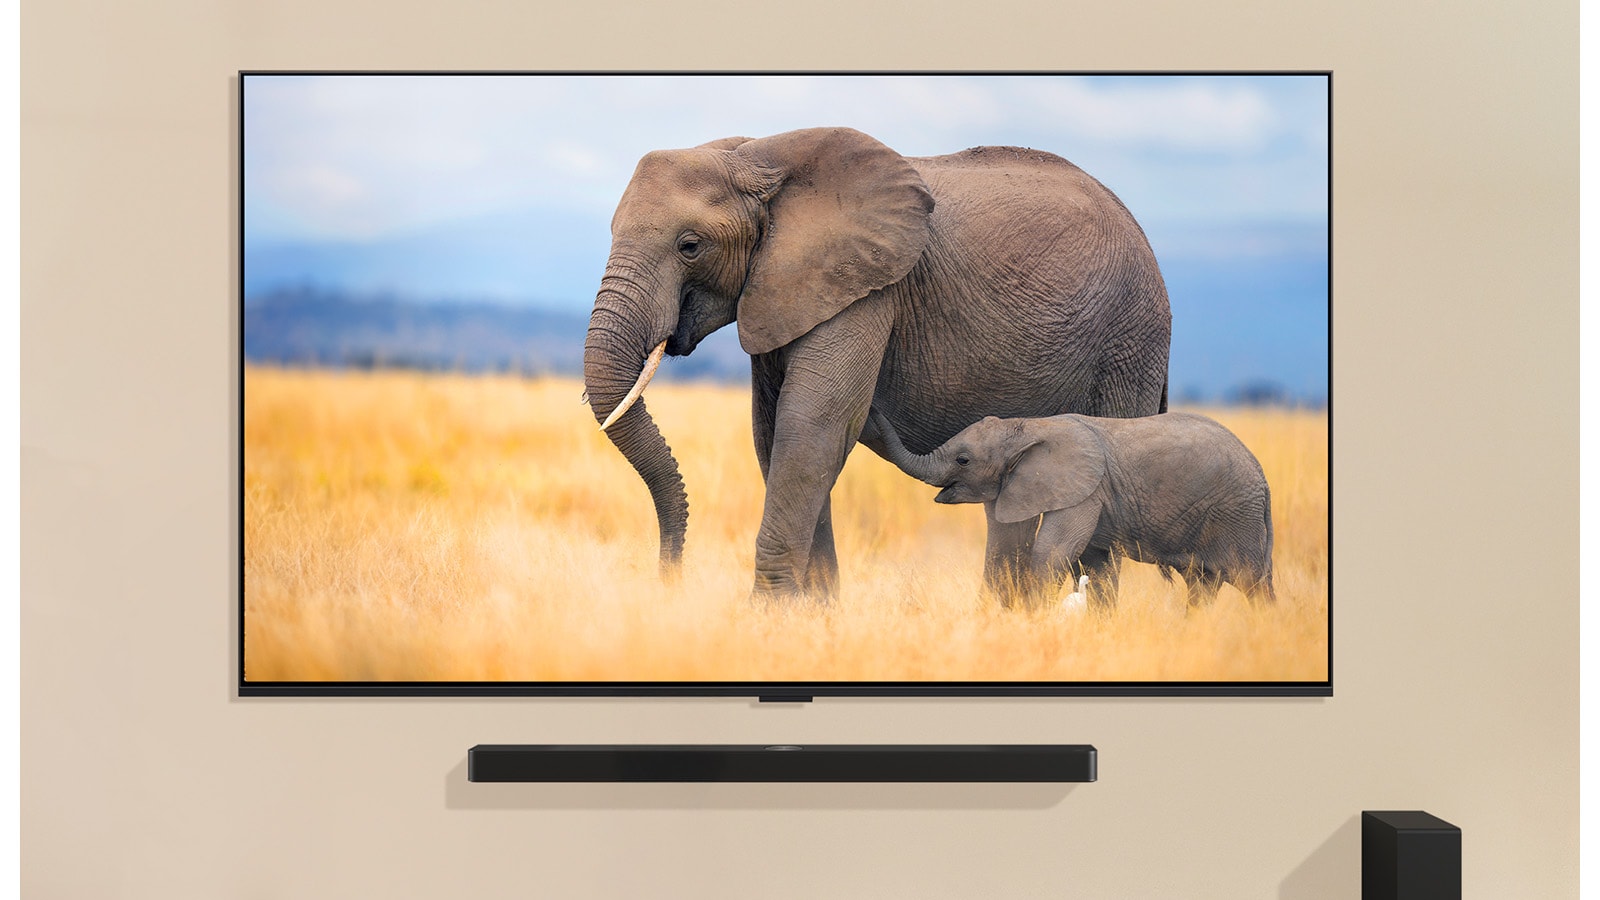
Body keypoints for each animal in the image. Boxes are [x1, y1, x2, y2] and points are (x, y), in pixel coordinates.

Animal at [582, 127, 1171, 601]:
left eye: (690, 245)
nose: (669, 581)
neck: (757, 155)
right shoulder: (786, 287)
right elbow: (775, 434)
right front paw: (811, 617)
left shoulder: (868, 288)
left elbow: (813, 426)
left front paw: (768, 618)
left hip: (1130, 342)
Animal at [862, 408, 1276, 609]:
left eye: (963, 460)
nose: (871, 412)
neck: (1027, 426)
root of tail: (1263, 478)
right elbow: (1086, 562)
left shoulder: (1084, 491)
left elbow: (1052, 551)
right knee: (1203, 586)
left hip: (1236, 514)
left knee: (1251, 581)